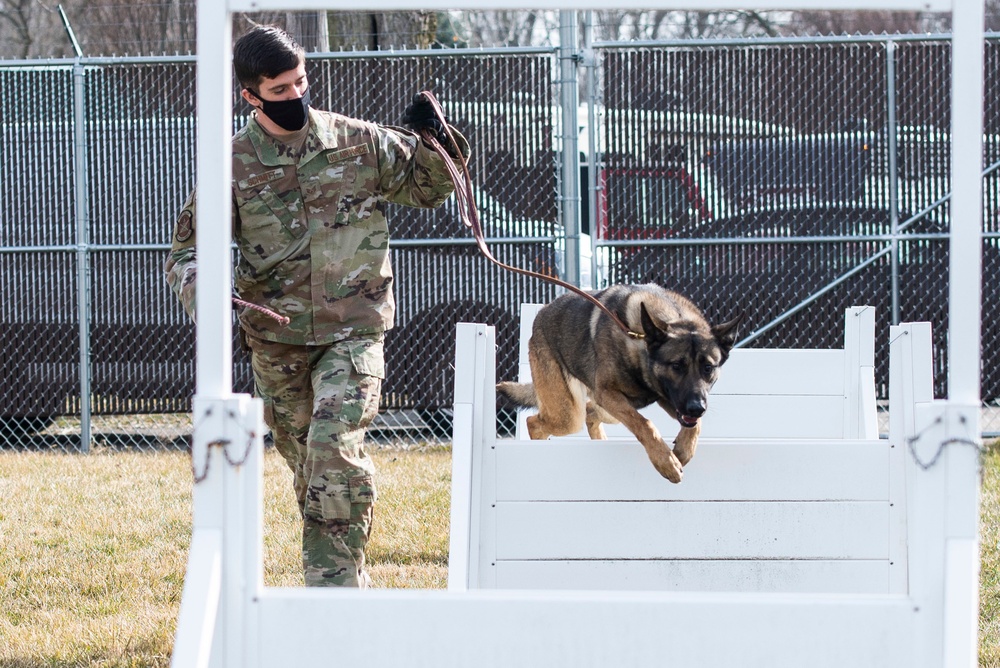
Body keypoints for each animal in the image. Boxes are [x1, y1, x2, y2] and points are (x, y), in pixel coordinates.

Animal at [498, 284, 744, 482]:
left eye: (708, 368)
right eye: (676, 366)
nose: (696, 408)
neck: (639, 340)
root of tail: (541, 312)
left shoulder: (668, 399)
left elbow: (694, 425)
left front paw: (683, 450)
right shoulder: (609, 394)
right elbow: (645, 424)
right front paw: (666, 461)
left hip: (606, 410)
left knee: (590, 412)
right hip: (568, 414)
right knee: (534, 421)